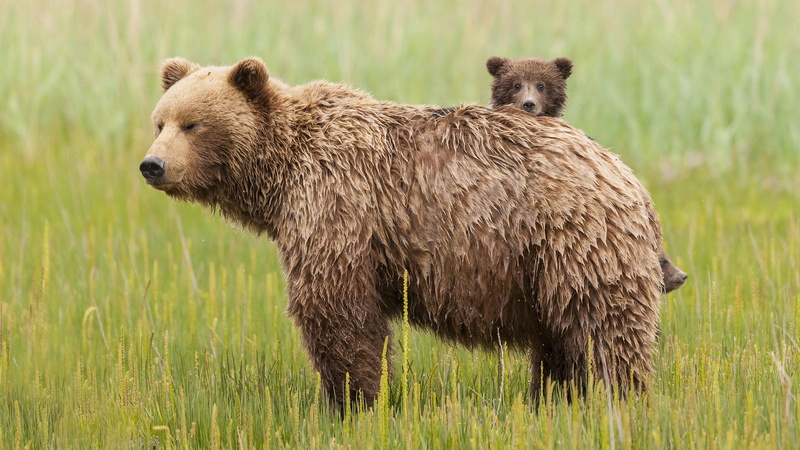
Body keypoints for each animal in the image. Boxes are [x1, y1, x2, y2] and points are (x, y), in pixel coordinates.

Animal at [140, 57, 665, 410]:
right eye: (159, 122)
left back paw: (621, 398)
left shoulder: (337, 205)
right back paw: (555, 400)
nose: (153, 165)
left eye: (193, 124)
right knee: (559, 339)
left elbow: (336, 311)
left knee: (603, 327)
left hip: (571, 238)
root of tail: (628, 175)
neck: (282, 175)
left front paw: (354, 401)